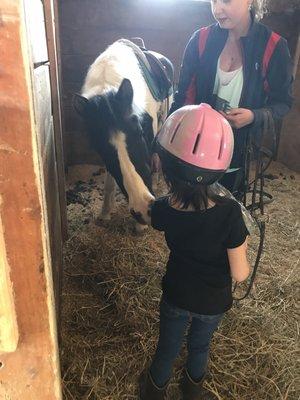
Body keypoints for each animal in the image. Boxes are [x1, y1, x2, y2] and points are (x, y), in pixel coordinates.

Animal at [73, 39, 173, 231]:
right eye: (100, 148)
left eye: (140, 132)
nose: (143, 209)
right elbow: (109, 182)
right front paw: (105, 212)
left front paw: (140, 226)